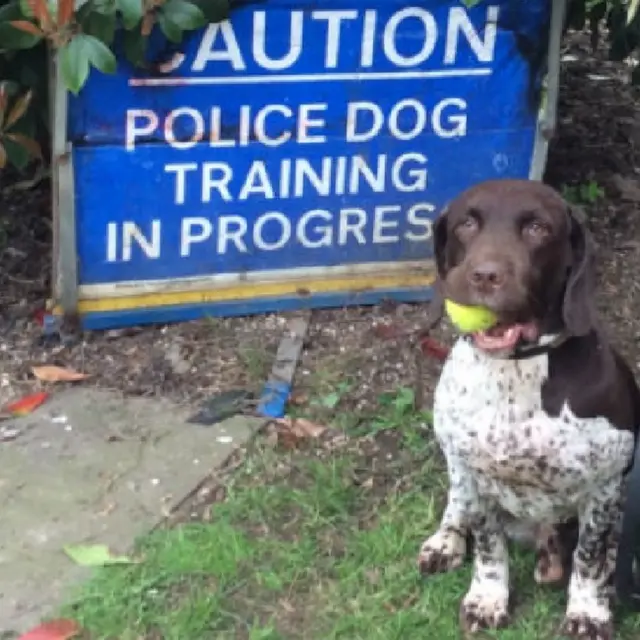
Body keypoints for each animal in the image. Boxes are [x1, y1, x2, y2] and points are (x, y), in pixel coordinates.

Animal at [418, 179, 640, 640]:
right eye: (467, 223)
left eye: (538, 228)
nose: (485, 275)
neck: (516, 371)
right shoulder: (476, 474)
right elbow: (488, 546)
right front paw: (487, 599)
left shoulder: (605, 485)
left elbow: (590, 558)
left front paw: (588, 612)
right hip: (455, 464)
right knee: (455, 502)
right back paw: (446, 540)